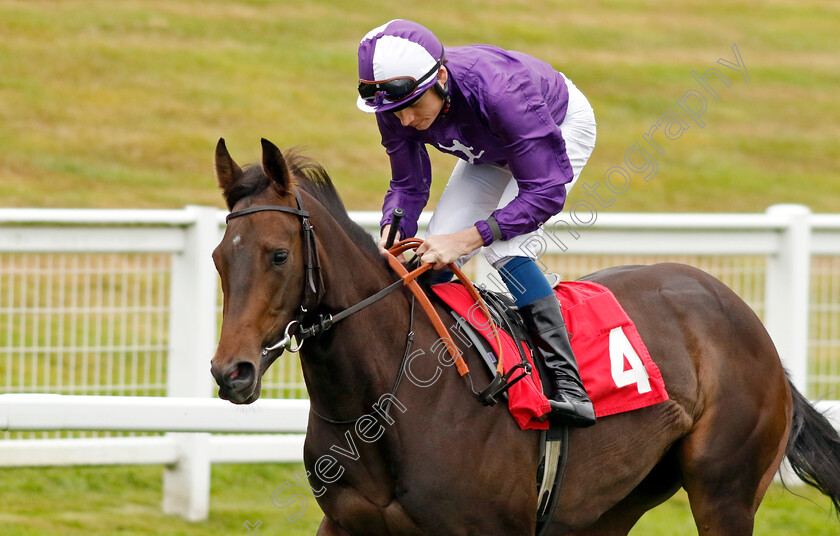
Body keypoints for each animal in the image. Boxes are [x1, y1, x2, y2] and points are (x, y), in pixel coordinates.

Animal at [210, 139, 840, 536]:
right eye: (218, 257)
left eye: (278, 255)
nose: (230, 372)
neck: (387, 398)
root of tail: (748, 319)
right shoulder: (343, 522)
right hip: (608, 507)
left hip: (724, 492)